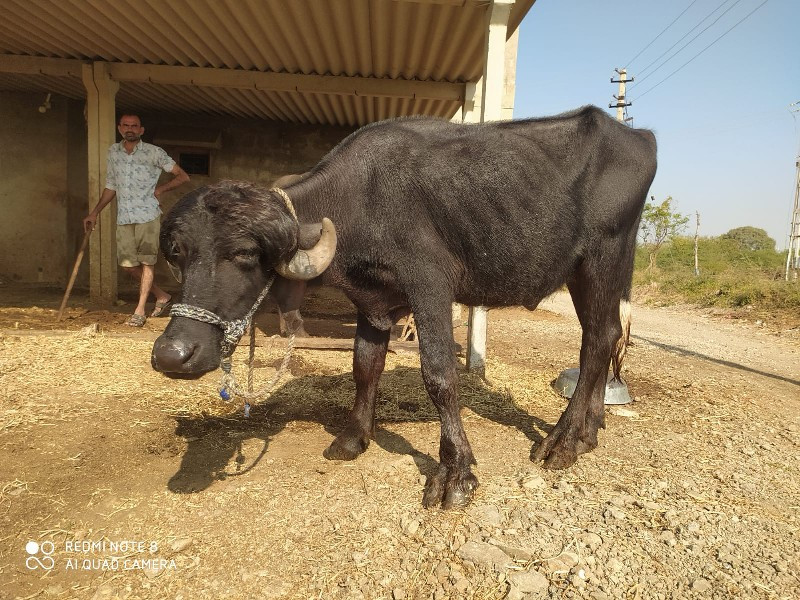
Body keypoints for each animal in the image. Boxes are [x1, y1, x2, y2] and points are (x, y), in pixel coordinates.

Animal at [152, 106, 656, 506]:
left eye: (243, 254)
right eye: (178, 254)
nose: (172, 355)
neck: (359, 200)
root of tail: (640, 138)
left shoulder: (430, 286)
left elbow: (439, 375)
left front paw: (455, 473)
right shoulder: (371, 300)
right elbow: (364, 364)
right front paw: (354, 437)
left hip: (602, 257)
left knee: (598, 339)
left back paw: (562, 442)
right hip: (591, 270)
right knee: (605, 335)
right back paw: (590, 428)